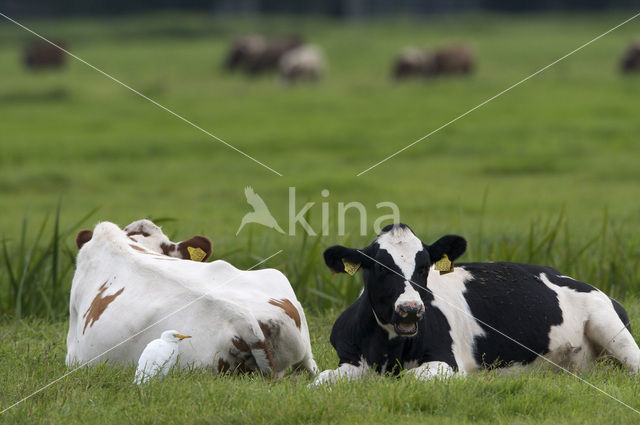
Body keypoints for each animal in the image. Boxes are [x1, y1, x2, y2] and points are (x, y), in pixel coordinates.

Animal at [314, 224, 640, 382]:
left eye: (423, 267)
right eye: (380, 268)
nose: (410, 309)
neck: (388, 351)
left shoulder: (446, 360)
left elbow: (412, 378)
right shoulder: (348, 360)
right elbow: (322, 380)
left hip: (609, 327)